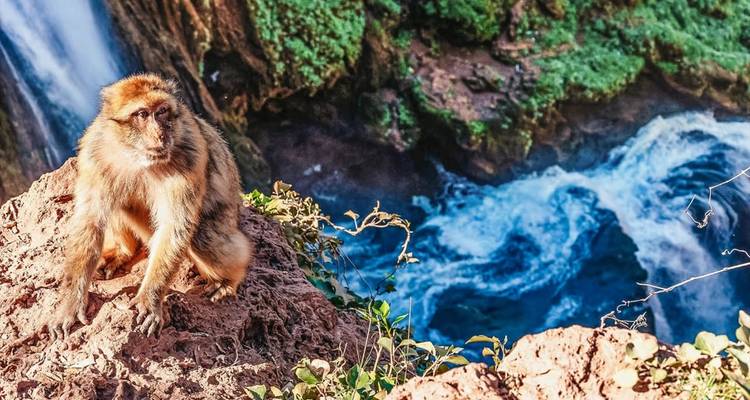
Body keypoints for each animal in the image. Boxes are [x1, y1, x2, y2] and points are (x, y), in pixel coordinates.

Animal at [47, 73, 254, 339]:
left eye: (162, 111)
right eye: (143, 114)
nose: (160, 134)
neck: (136, 156)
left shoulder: (190, 155)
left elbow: (174, 227)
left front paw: (150, 300)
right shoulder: (95, 154)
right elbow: (90, 220)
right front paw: (71, 302)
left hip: (226, 220)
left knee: (203, 236)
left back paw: (229, 281)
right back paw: (124, 251)